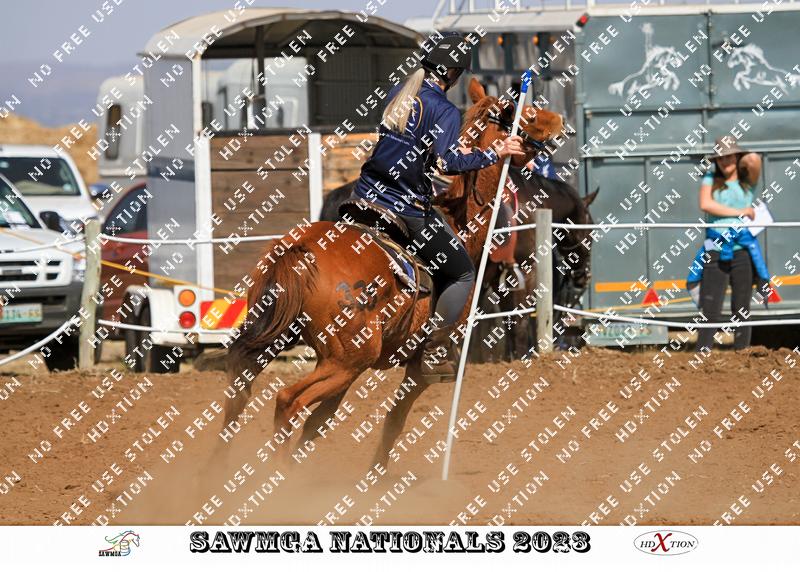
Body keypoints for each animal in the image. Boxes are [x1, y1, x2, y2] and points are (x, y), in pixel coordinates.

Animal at [221, 77, 564, 468]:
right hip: (347, 359)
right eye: (524, 112)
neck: (459, 224)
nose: (559, 120)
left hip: (288, 341)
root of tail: (300, 250)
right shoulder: (418, 367)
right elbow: (394, 419)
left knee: (240, 388)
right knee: (287, 401)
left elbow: (319, 425)